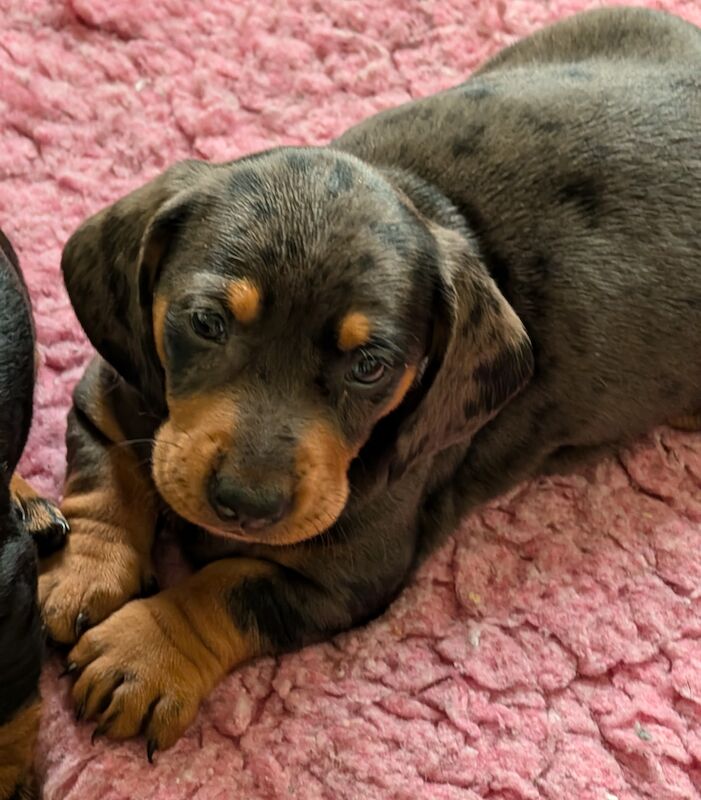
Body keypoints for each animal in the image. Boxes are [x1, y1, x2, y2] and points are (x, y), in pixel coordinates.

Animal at [39, 4, 700, 756]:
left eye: (369, 366)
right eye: (206, 322)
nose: (245, 504)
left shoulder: (351, 578)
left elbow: (227, 589)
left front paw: (145, 651)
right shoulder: (115, 385)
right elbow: (107, 472)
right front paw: (84, 567)